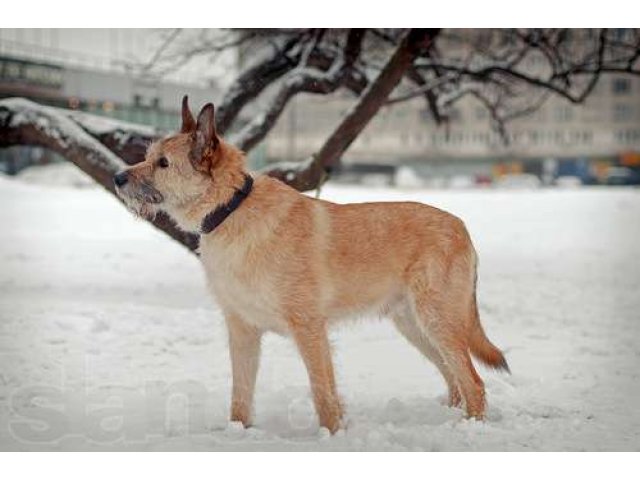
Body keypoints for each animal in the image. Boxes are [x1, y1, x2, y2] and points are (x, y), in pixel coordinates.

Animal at [112, 95, 508, 434]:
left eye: (163, 164)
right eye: (147, 155)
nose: (117, 178)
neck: (231, 210)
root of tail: (461, 226)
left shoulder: (309, 328)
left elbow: (323, 392)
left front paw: (332, 436)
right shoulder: (242, 329)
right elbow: (241, 394)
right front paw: (238, 432)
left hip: (437, 321)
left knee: (473, 381)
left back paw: (470, 428)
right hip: (415, 326)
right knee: (453, 376)